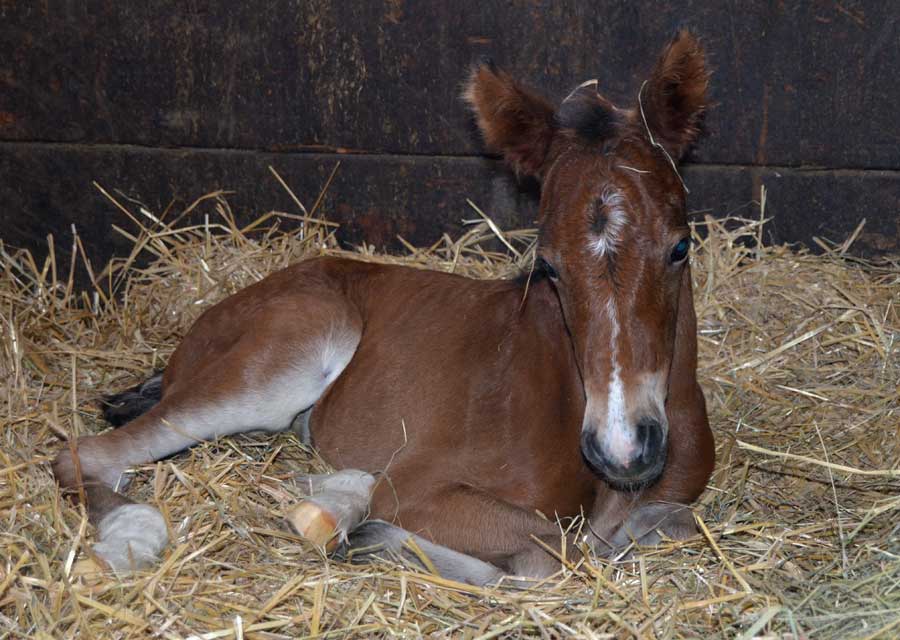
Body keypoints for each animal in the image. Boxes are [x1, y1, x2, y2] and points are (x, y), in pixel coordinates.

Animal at [56, 31, 716, 584]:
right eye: (548, 266)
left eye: (680, 247)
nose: (622, 449)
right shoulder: (420, 489)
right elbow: (555, 553)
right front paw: (373, 535)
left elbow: (666, 524)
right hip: (284, 358)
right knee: (87, 455)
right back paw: (138, 538)